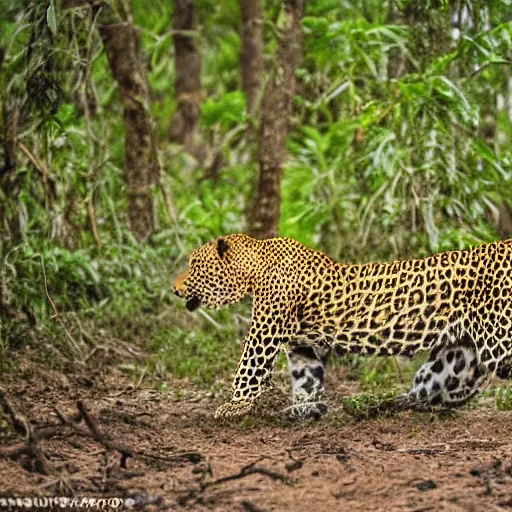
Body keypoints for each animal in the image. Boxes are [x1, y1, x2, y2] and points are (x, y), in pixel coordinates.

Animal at [173, 234, 512, 418]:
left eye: (194, 265)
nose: (174, 288)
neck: (257, 266)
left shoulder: (265, 331)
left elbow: (249, 368)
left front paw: (234, 407)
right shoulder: (302, 343)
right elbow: (306, 375)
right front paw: (305, 408)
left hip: (498, 339)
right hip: (462, 351)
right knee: (439, 384)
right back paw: (380, 406)